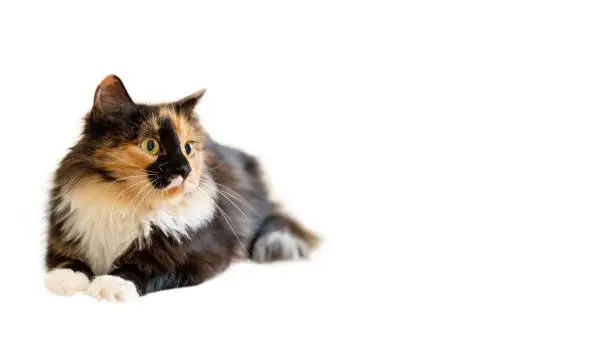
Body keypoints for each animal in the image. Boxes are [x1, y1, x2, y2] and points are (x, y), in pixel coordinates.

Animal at [43, 75, 320, 302]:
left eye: (188, 148)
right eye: (151, 145)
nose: (185, 170)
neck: (126, 202)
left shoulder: (192, 257)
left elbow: (144, 268)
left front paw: (110, 285)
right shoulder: (67, 235)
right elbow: (66, 261)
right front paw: (66, 280)